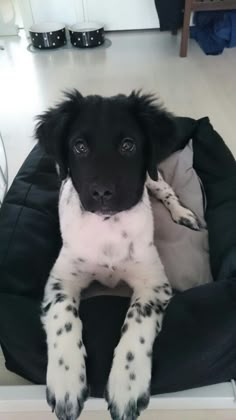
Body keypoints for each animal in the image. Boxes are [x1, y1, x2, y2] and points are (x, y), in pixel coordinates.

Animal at [36, 91, 200, 420]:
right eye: (79, 146)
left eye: (128, 145)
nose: (101, 193)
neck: (108, 226)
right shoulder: (61, 280)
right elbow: (64, 318)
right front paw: (66, 382)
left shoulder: (153, 284)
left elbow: (136, 324)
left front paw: (127, 386)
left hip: (153, 177)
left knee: (166, 191)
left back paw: (183, 214)